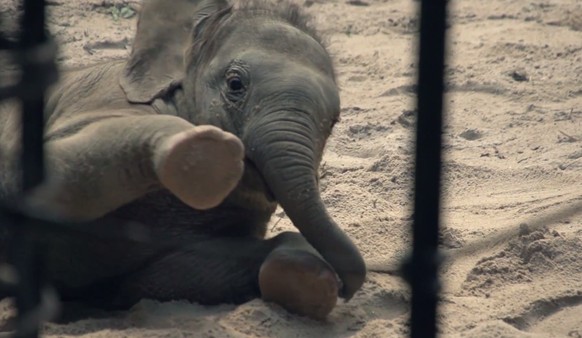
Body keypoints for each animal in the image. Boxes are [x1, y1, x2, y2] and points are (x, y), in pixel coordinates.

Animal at [0, 0, 368, 320]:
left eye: (334, 121)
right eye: (235, 84)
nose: (347, 288)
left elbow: (161, 278)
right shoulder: (98, 99)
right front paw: (206, 155)